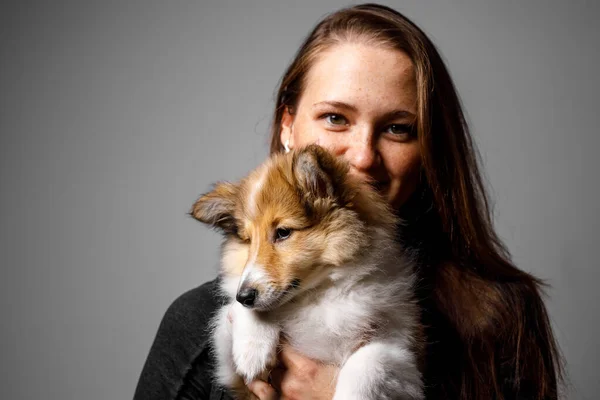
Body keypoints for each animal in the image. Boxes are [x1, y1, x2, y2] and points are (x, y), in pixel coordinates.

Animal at [191, 145, 422, 400]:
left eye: (283, 232)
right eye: (248, 240)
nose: (245, 296)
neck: (316, 295)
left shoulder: (401, 347)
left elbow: (370, 361)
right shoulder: (236, 379)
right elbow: (230, 313)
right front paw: (253, 350)